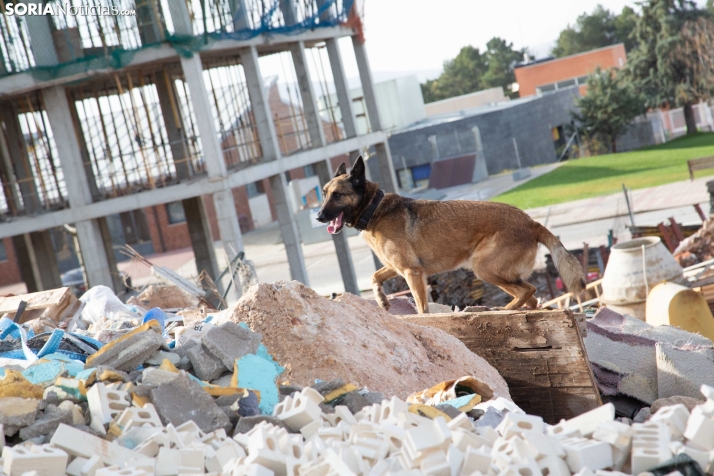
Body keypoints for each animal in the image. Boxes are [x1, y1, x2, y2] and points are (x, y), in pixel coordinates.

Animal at [318, 156, 584, 312]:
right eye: (323, 193)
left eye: (338, 195)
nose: (319, 217)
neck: (373, 208)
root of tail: (531, 222)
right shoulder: (398, 267)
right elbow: (375, 277)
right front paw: (382, 300)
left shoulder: (412, 273)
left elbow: (421, 307)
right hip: (494, 272)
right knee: (531, 296)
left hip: (484, 268)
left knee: (528, 290)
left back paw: (503, 310)